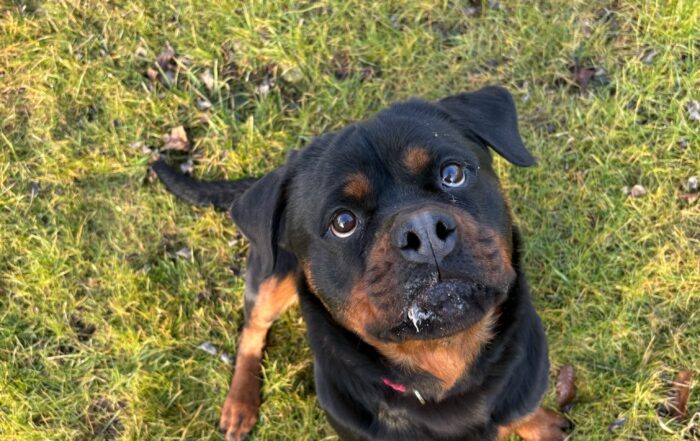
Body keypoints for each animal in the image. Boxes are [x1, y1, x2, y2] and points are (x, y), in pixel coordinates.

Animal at [152, 86, 569, 441]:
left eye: (452, 173)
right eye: (343, 222)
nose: (424, 232)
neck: (447, 366)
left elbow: (522, 412)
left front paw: (539, 424)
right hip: (271, 276)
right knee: (252, 330)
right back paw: (240, 403)